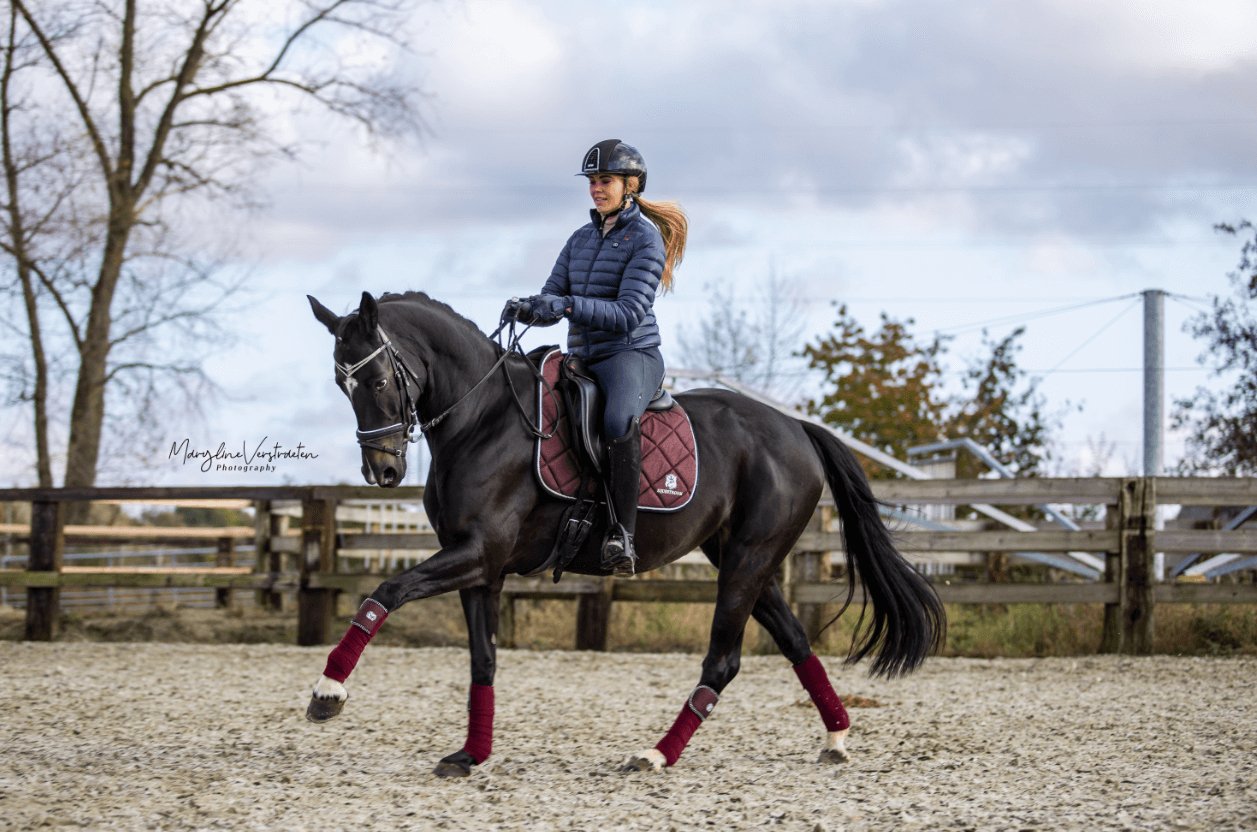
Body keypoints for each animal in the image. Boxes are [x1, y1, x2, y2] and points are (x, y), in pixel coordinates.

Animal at [304, 291, 940, 774]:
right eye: (340, 384)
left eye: (378, 379)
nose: (382, 472)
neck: (482, 418)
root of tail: (797, 429)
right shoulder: (482, 568)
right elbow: (482, 660)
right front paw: (471, 754)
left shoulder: (476, 554)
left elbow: (384, 593)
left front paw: (328, 692)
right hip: (746, 562)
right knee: (796, 643)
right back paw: (836, 738)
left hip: (748, 562)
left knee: (724, 662)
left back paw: (656, 755)